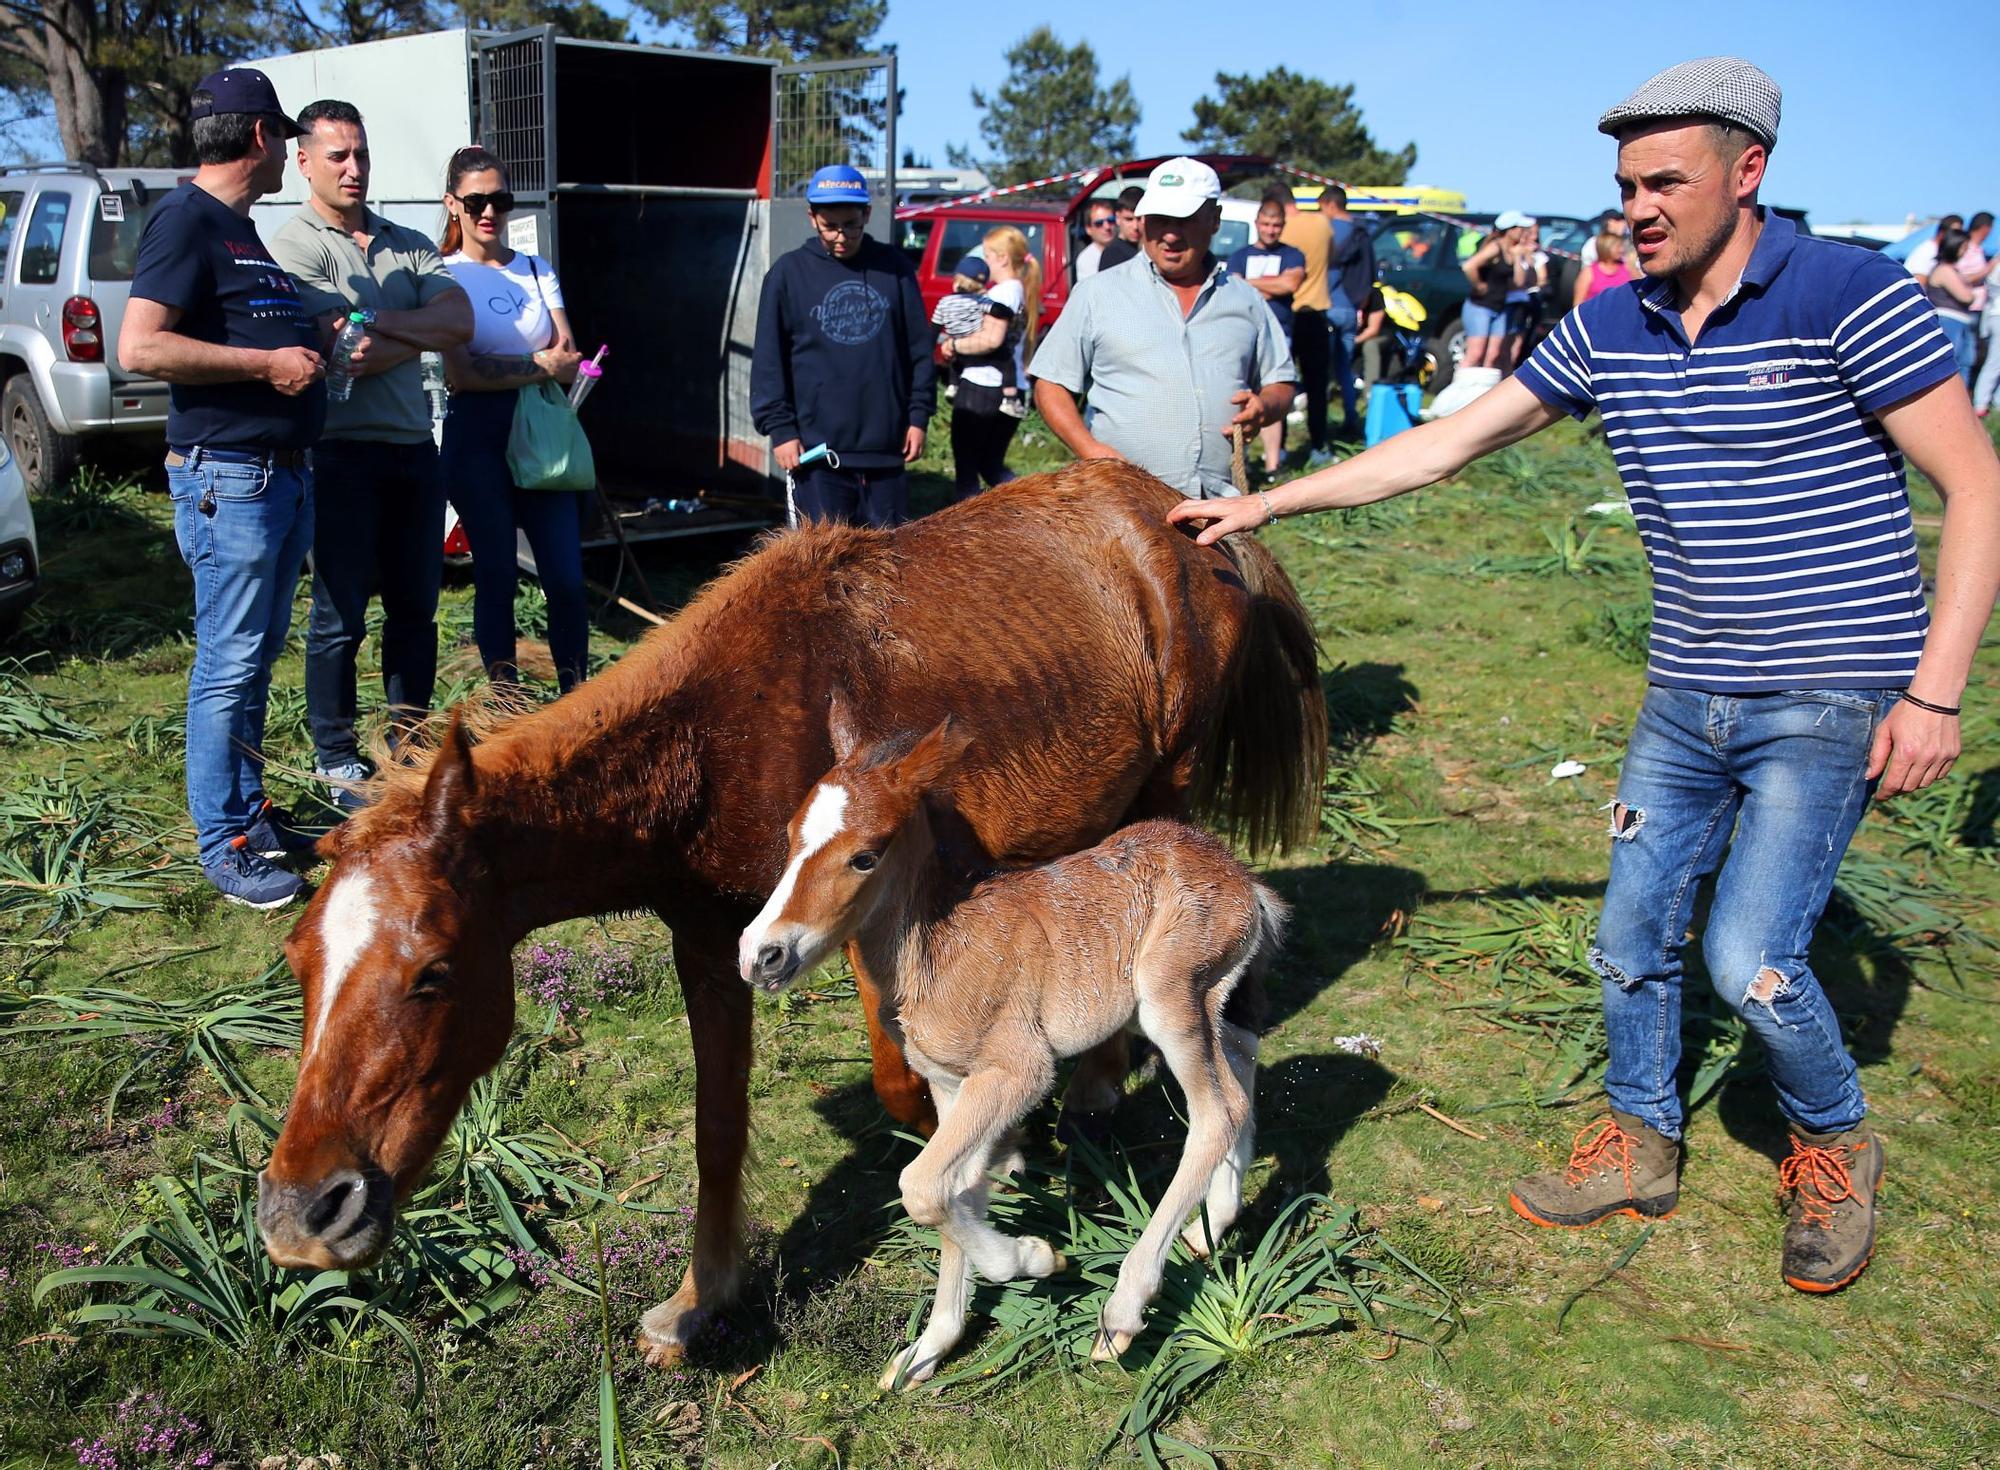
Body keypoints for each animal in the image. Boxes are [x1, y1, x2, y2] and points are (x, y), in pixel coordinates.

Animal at [736, 720, 1280, 1384]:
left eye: (866, 855)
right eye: (790, 836)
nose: (761, 955)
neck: (936, 951)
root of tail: (1246, 882)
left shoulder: (1017, 1072)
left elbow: (922, 1186)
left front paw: (1035, 1258)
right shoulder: (949, 1086)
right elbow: (960, 1186)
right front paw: (930, 1348)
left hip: (1171, 997)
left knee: (1216, 1111)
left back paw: (1122, 1312)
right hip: (1211, 999)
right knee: (1243, 1061)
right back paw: (1216, 1222)